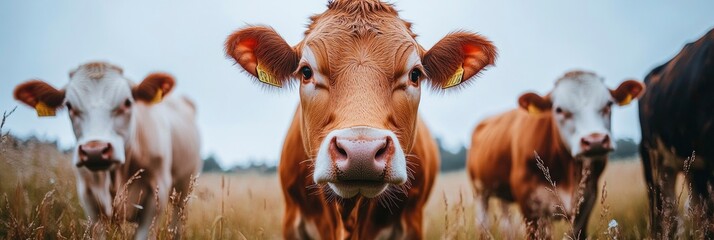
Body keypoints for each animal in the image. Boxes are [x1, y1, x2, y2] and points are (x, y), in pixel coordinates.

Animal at [12, 61, 200, 238]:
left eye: (127, 102)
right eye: (69, 106)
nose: (94, 151)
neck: (115, 177)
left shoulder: (157, 193)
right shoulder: (89, 198)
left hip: (183, 188)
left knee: (176, 225)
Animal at [464, 71, 644, 238]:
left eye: (608, 104)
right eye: (559, 109)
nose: (596, 141)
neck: (569, 171)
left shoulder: (585, 203)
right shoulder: (529, 207)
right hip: (479, 192)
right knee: (483, 224)